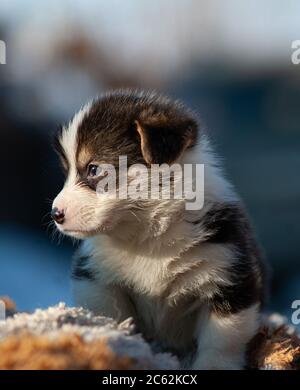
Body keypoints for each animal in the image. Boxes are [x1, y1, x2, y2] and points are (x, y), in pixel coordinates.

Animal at [52, 90, 268, 370]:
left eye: (94, 169)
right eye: (66, 172)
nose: (55, 214)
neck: (148, 234)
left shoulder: (229, 276)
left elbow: (222, 340)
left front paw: (213, 366)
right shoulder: (96, 278)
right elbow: (111, 317)